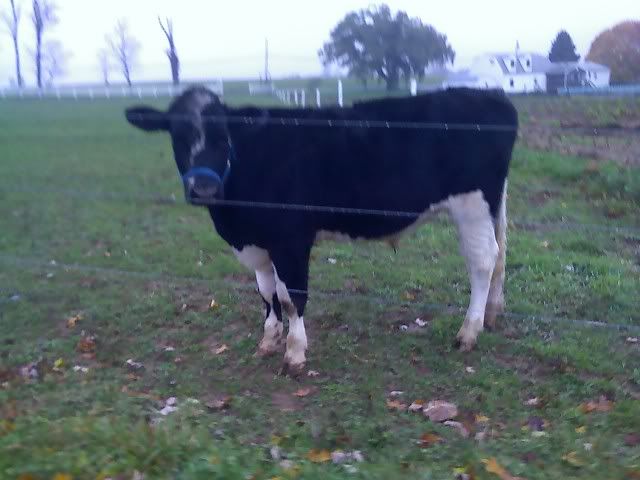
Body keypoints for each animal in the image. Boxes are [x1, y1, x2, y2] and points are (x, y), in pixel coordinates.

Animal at [125, 86, 518, 373]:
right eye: (177, 135)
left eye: (224, 137)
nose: (204, 188)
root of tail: (491, 94)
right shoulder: (258, 244)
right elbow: (266, 292)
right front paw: (269, 340)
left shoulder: (291, 239)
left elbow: (291, 296)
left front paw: (295, 353)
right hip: (491, 205)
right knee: (500, 255)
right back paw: (492, 314)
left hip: (472, 205)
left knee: (483, 261)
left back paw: (468, 331)